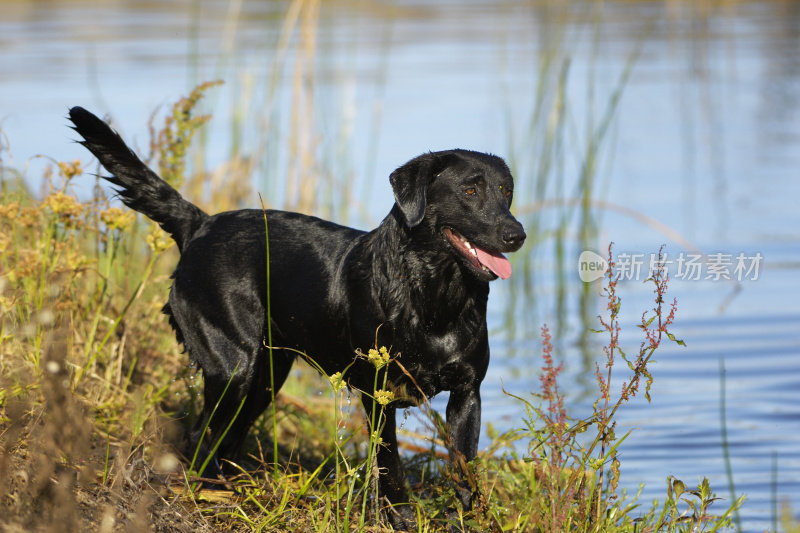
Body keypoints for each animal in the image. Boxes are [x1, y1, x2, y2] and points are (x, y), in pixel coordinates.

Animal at [69, 106, 528, 524]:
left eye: (505, 190)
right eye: (470, 191)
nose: (517, 234)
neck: (436, 297)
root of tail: (200, 224)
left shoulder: (468, 393)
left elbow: (464, 470)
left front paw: (470, 518)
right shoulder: (378, 394)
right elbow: (390, 466)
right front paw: (399, 518)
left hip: (266, 376)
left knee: (226, 436)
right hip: (233, 366)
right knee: (200, 437)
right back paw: (212, 493)